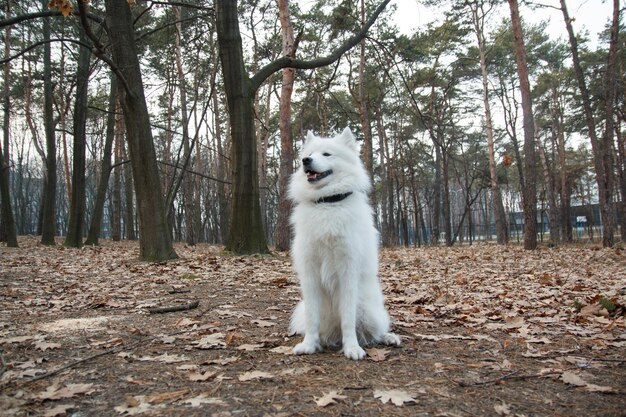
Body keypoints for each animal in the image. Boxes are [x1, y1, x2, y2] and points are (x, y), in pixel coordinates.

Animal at [288, 127, 400, 360]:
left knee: (374, 331)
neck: (327, 204)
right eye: (310, 153)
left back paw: (388, 337)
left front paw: (352, 348)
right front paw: (309, 344)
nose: (305, 160)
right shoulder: (310, 273)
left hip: (368, 310)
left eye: (327, 154)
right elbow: (312, 318)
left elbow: (348, 318)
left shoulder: (347, 271)